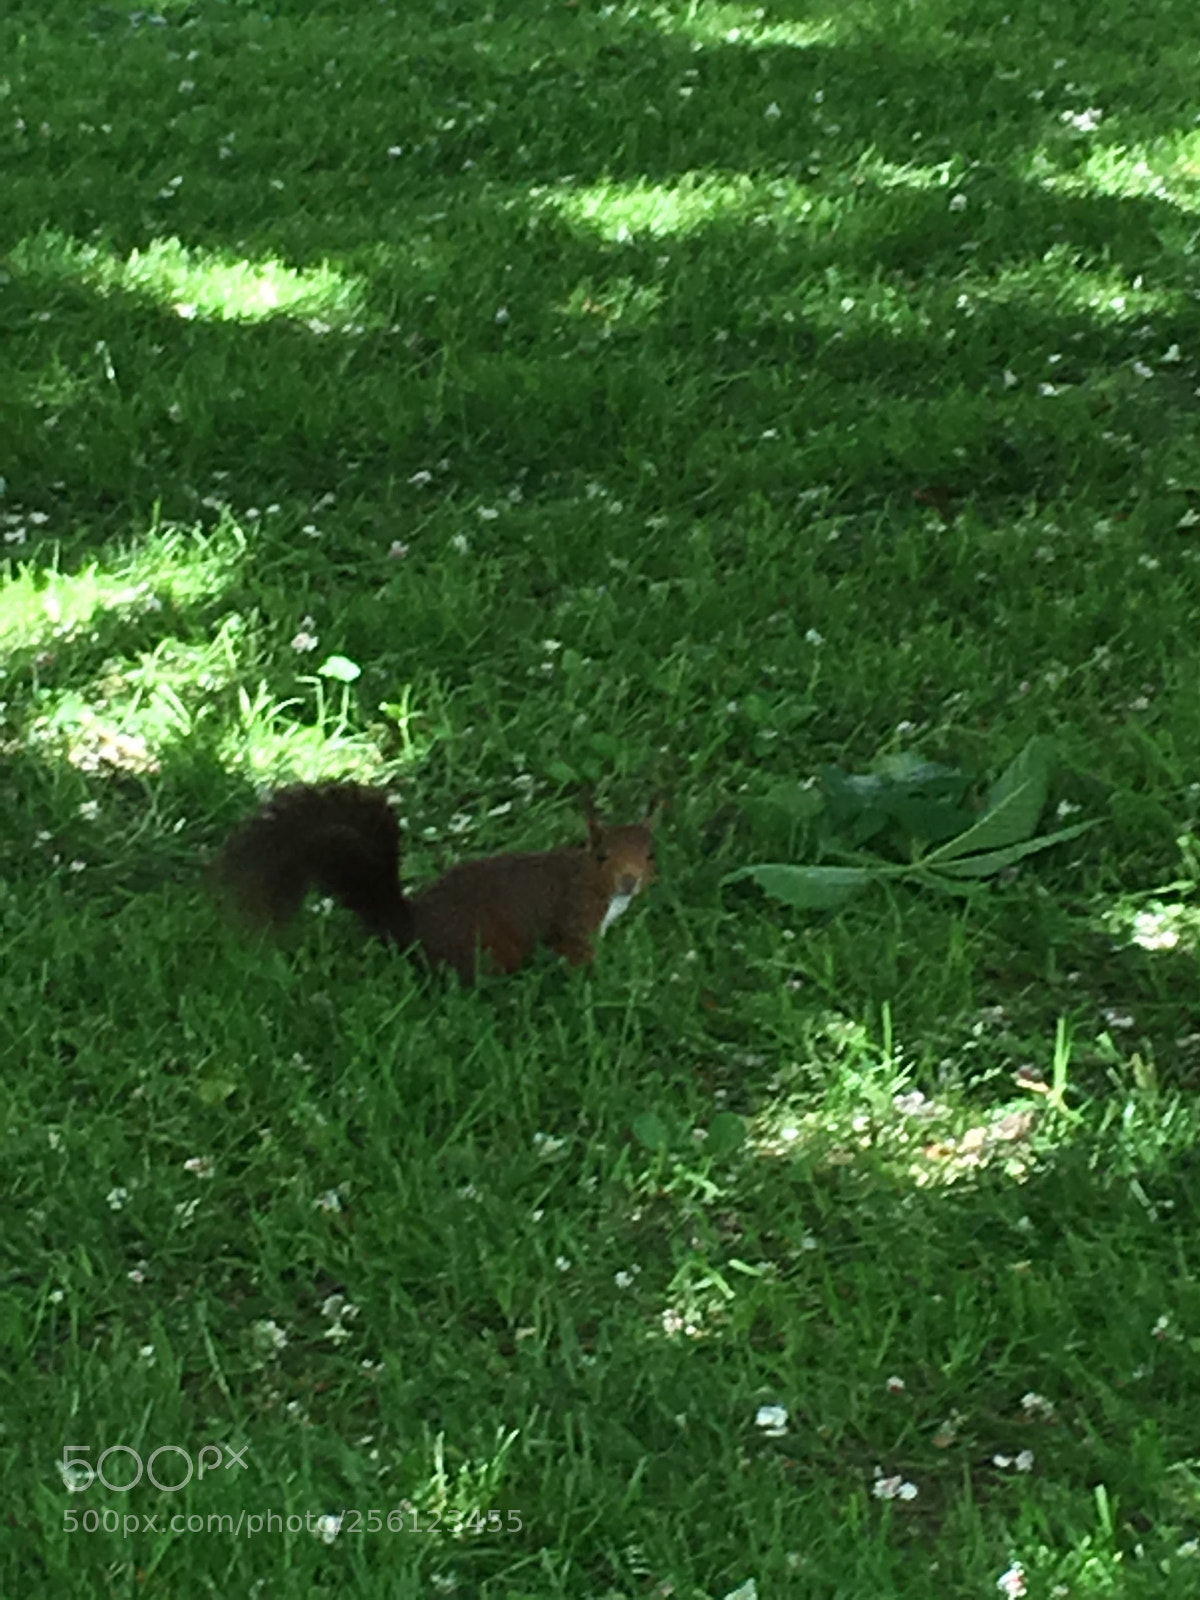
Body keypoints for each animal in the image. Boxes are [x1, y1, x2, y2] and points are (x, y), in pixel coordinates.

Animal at [214, 780, 659, 984]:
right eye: (602, 856)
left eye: (651, 854)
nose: (629, 881)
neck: (591, 880)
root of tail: (409, 928)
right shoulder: (573, 914)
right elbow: (577, 952)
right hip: (486, 948)